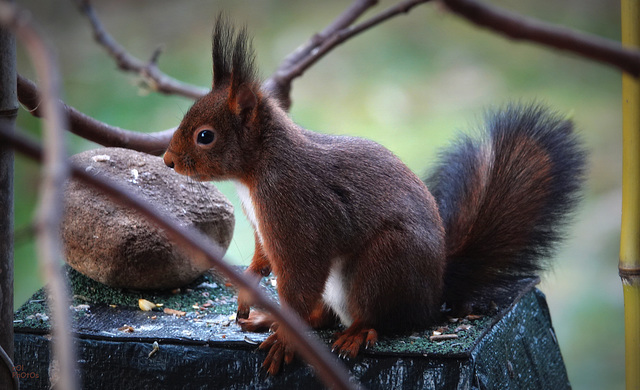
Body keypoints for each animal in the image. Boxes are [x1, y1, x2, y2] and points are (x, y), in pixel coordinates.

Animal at [164, 17, 584, 374]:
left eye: (205, 136)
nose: (167, 161)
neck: (256, 172)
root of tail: (433, 295)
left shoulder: (296, 213)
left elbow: (300, 279)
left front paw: (285, 340)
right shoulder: (263, 227)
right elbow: (262, 259)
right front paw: (250, 289)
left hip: (383, 265)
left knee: (379, 318)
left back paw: (355, 333)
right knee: (325, 315)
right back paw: (274, 318)